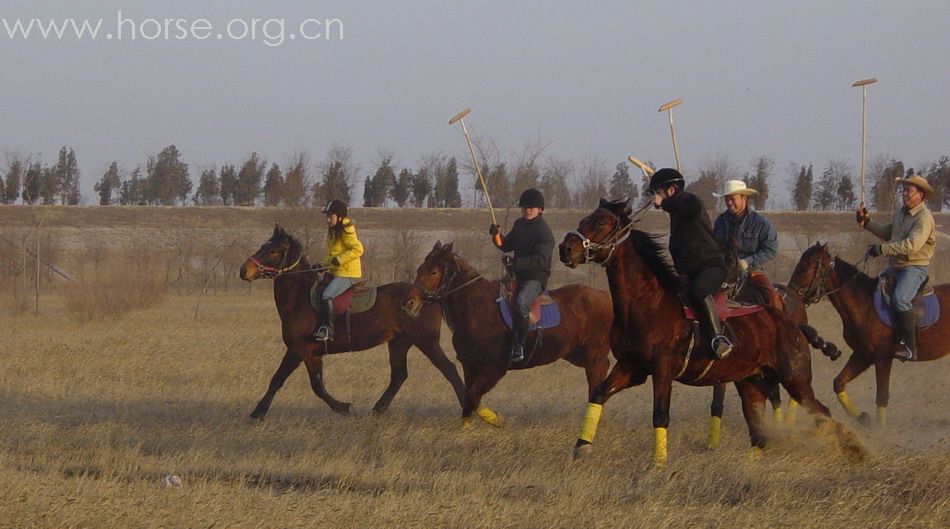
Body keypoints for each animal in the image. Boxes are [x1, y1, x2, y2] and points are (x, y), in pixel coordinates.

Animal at [236, 225, 462, 418]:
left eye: (273, 251)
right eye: (263, 246)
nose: (243, 270)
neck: (300, 298)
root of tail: (428, 297)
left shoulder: (297, 349)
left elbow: (277, 379)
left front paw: (257, 413)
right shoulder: (311, 353)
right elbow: (318, 386)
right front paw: (343, 407)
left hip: (426, 342)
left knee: (449, 369)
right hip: (398, 343)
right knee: (399, 376)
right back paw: (377, 410)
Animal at [404, 241, 616, 426]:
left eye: (433, 271)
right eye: (419, 269)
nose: (409, 303)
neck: (477, 307)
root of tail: (606, 297)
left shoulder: (495, 367)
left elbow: (472, 396)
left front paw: (495, 419)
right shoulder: (470, 365)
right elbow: (469, 398)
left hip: (593, 356)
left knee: (597, 379)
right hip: (576, 354)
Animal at [560, 199, 852, 466]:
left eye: (602, 222)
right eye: (585, 219)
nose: (566, 248)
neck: (647, 302)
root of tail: (792, 324)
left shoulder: (662, 370)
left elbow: (660, 414)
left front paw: (658, 463)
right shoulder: (631, 367)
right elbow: (598, 394)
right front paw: (581, 447)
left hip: (796, 380)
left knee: (821, 412)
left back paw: (850, 449)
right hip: (752, 384)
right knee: (759, 432)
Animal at [788, 241, 950, 426]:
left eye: (807, 266)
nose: (790, 293)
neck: (864, 304)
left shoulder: (883, 359)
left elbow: (881, 397)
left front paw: (880, 431)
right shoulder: (863, 356)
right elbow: (838, 383)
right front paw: (863, 418)